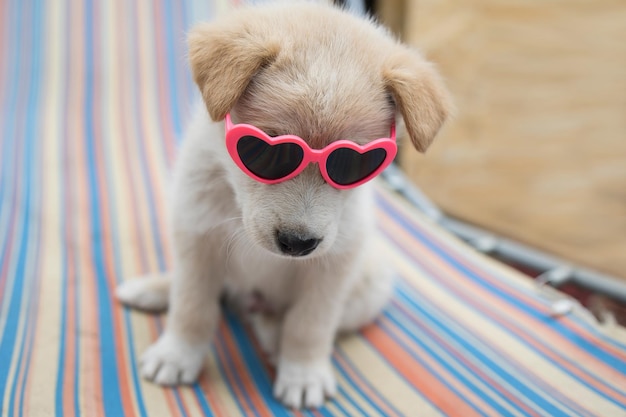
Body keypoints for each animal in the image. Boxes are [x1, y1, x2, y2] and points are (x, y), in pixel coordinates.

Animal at [116, 0, 448, 410]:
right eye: (266, 151)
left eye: (355, 163)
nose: (297, 243)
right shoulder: (197, 235)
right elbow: (193, 306)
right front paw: (177, 355)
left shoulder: (333, 264)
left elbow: (308, 325)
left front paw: (303, 373)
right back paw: (151, 289)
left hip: (372, 284)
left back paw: (271, 334)